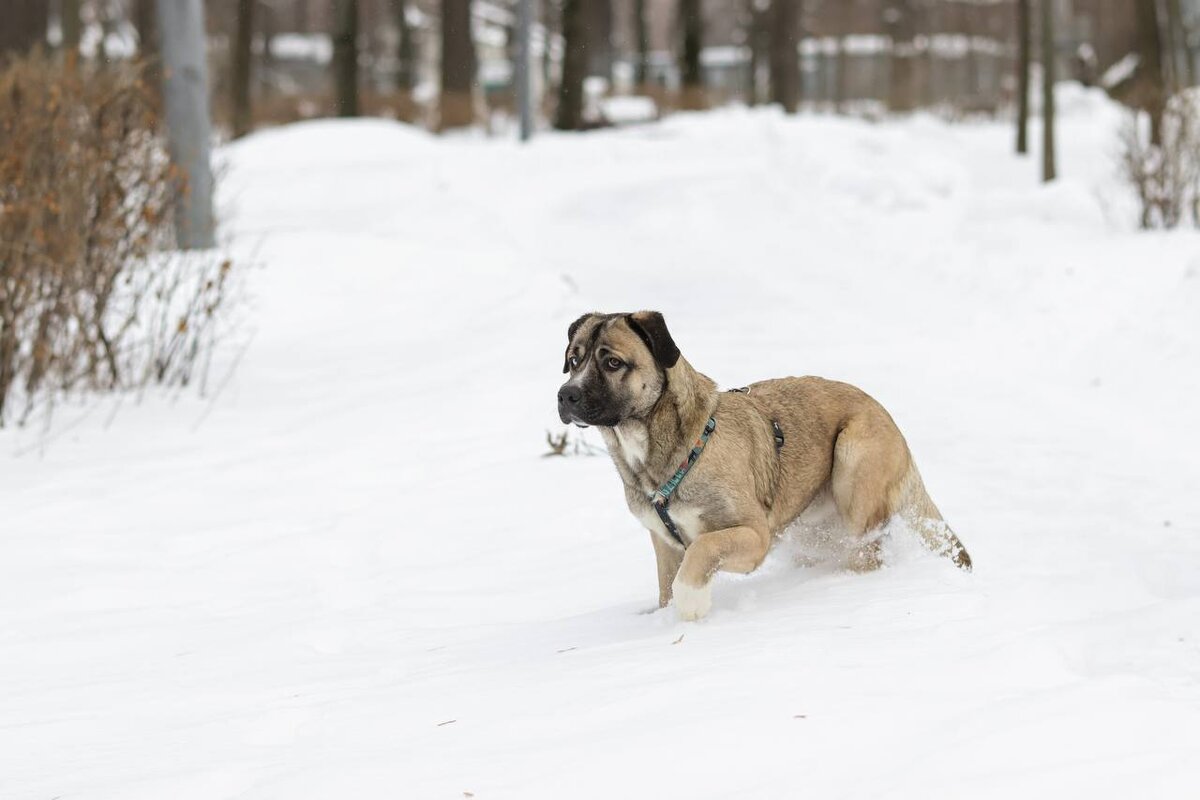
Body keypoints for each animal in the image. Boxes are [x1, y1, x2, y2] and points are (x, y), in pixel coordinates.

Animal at [556, 311, 969, 618]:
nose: (566, 395)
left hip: (854, 465)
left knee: (866, 551)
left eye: (613, 363)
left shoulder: (753, 536)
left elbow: (703, 549)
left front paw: (692, 602)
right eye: (574, 360)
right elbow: (668, 584)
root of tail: (884, 413)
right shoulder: (665, 545)